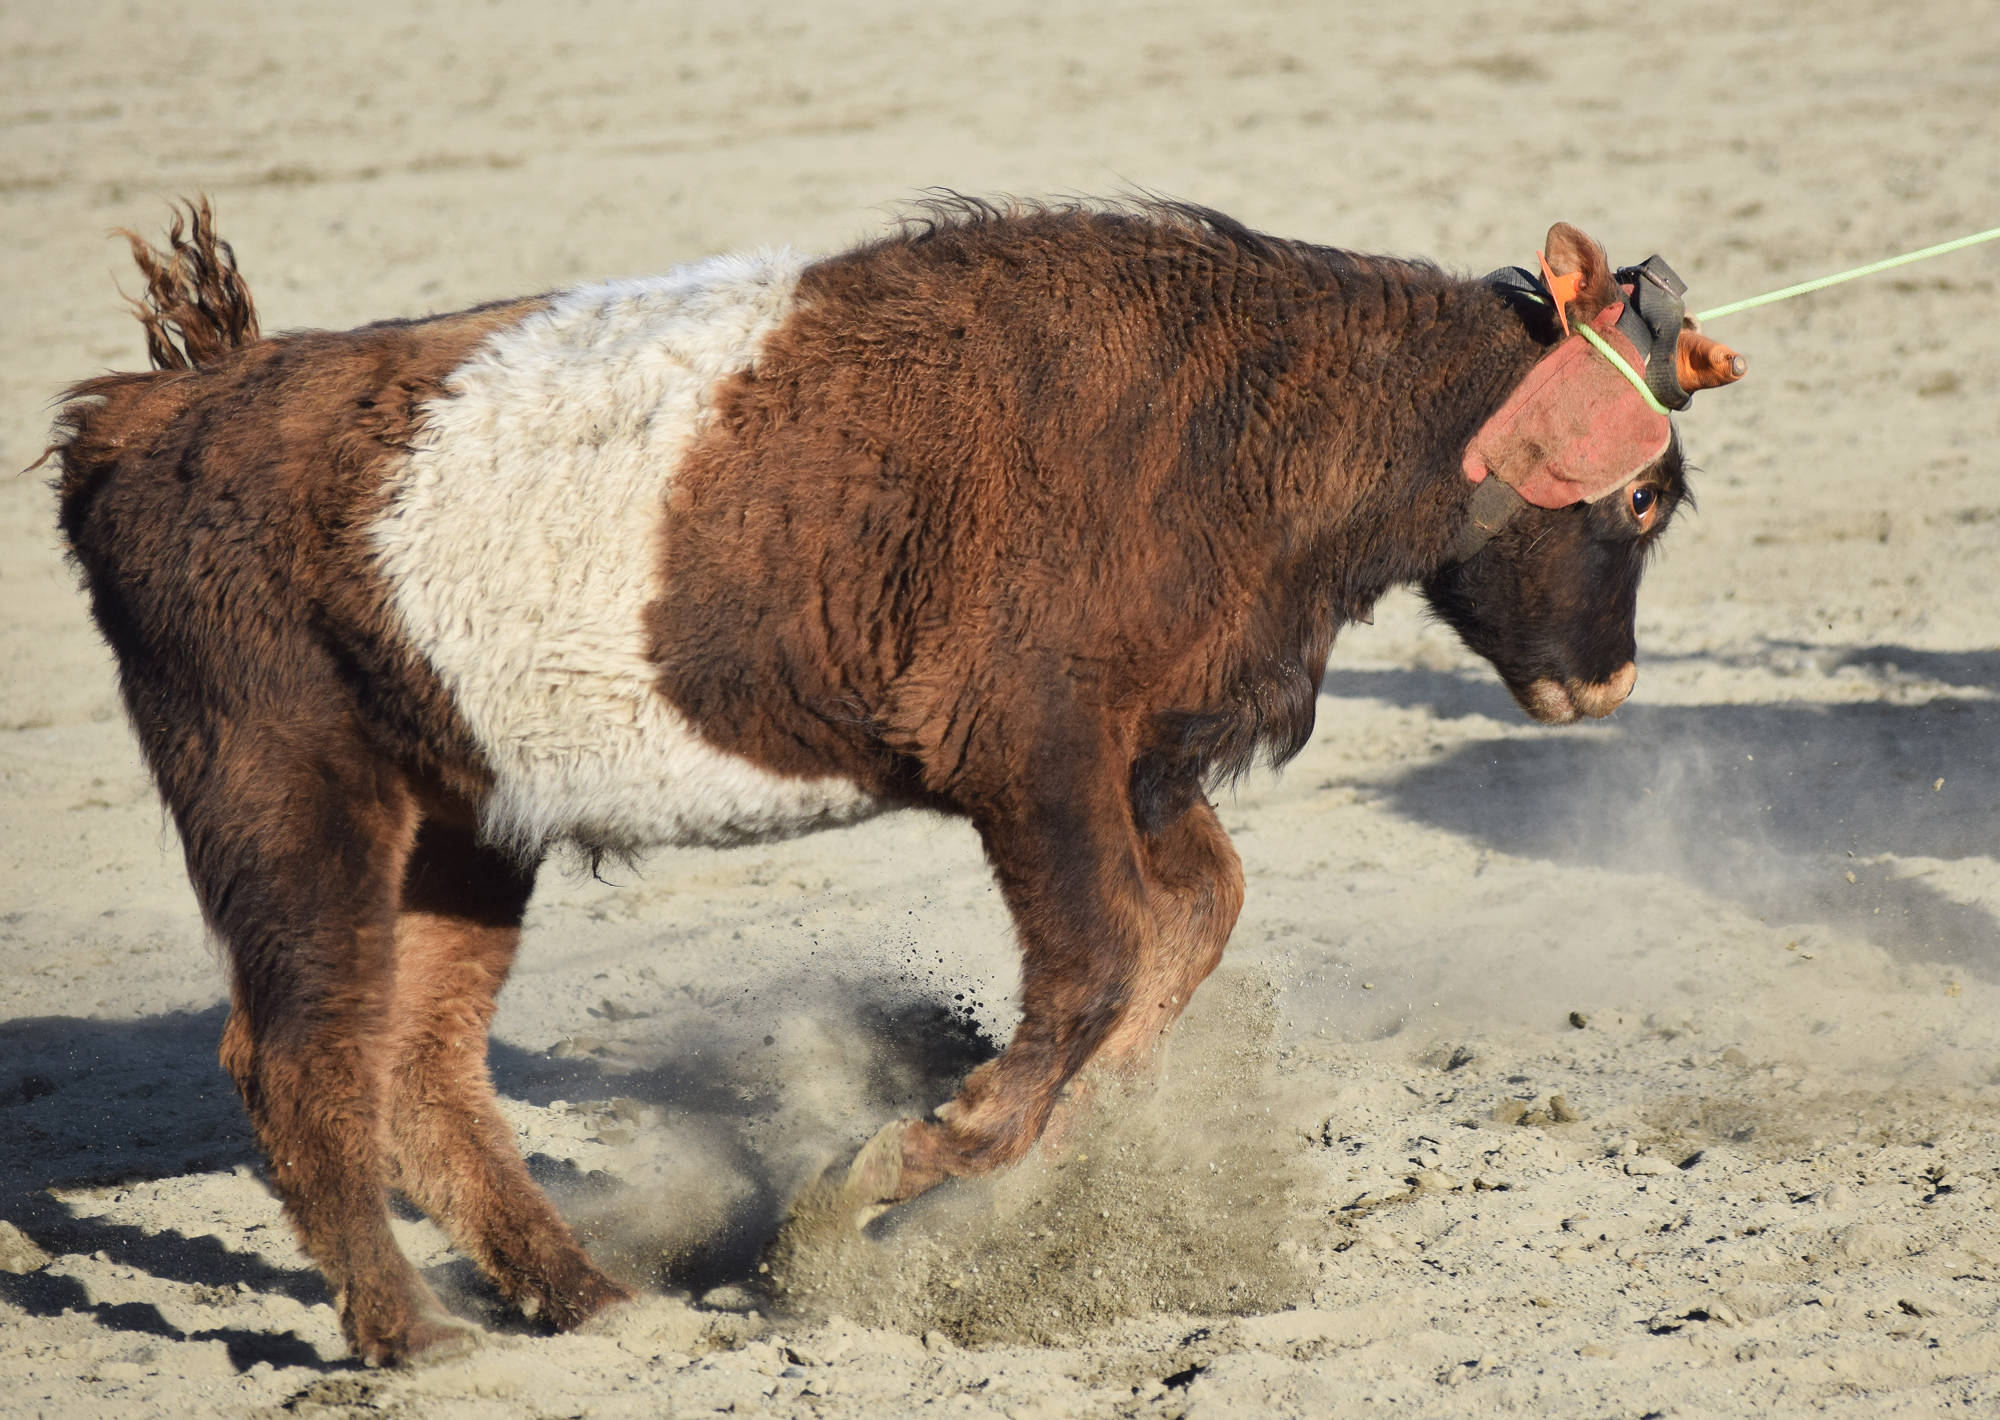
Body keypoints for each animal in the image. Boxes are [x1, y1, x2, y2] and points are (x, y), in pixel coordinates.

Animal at [43, 200, 1736, 1368]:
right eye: (1646, 496)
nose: (1604, 685)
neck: (1228, 412)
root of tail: (163, 409)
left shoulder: (1136, 760)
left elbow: (1188, 921)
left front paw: (1056, 1148)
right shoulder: (1032, 752)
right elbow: (1100, 958)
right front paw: (900, 1169)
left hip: (461, 832)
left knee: (425, 1073)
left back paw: (593, 1302)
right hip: (288, 803)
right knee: (303, 1062)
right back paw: (415, 1336)